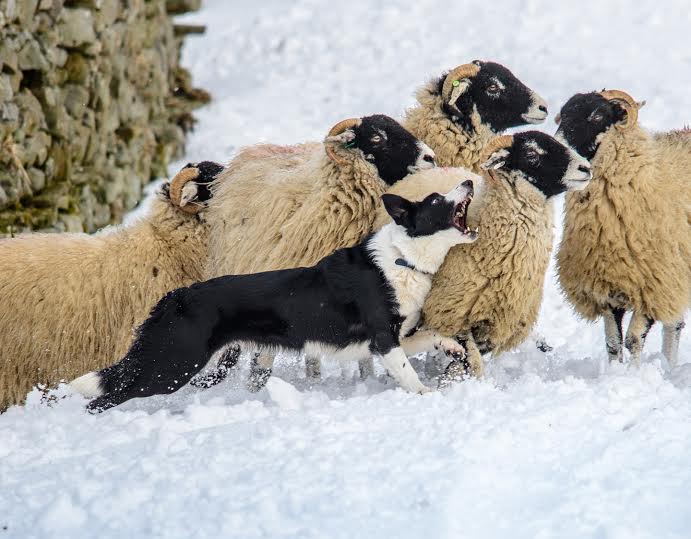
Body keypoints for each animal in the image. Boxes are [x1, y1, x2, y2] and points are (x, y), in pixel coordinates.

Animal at [73, 179, 478, 412]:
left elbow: (432, 335)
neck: (404, 258)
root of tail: (173, 298)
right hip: (173, 365)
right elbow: (408, 374)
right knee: (106, 396)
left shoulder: (391, 339)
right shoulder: (383, 340)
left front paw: (452, 347)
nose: (469, 179)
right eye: (436, 200)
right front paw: (426, 395)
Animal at [556, 89, 691, 368]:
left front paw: (634, 373)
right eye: (562, 115)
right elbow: (613, 343)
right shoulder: (607, 289)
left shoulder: (654, 287)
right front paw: (614, 372)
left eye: (597, 115)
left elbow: (633, 340)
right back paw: (668, 366)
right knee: (674, 325)